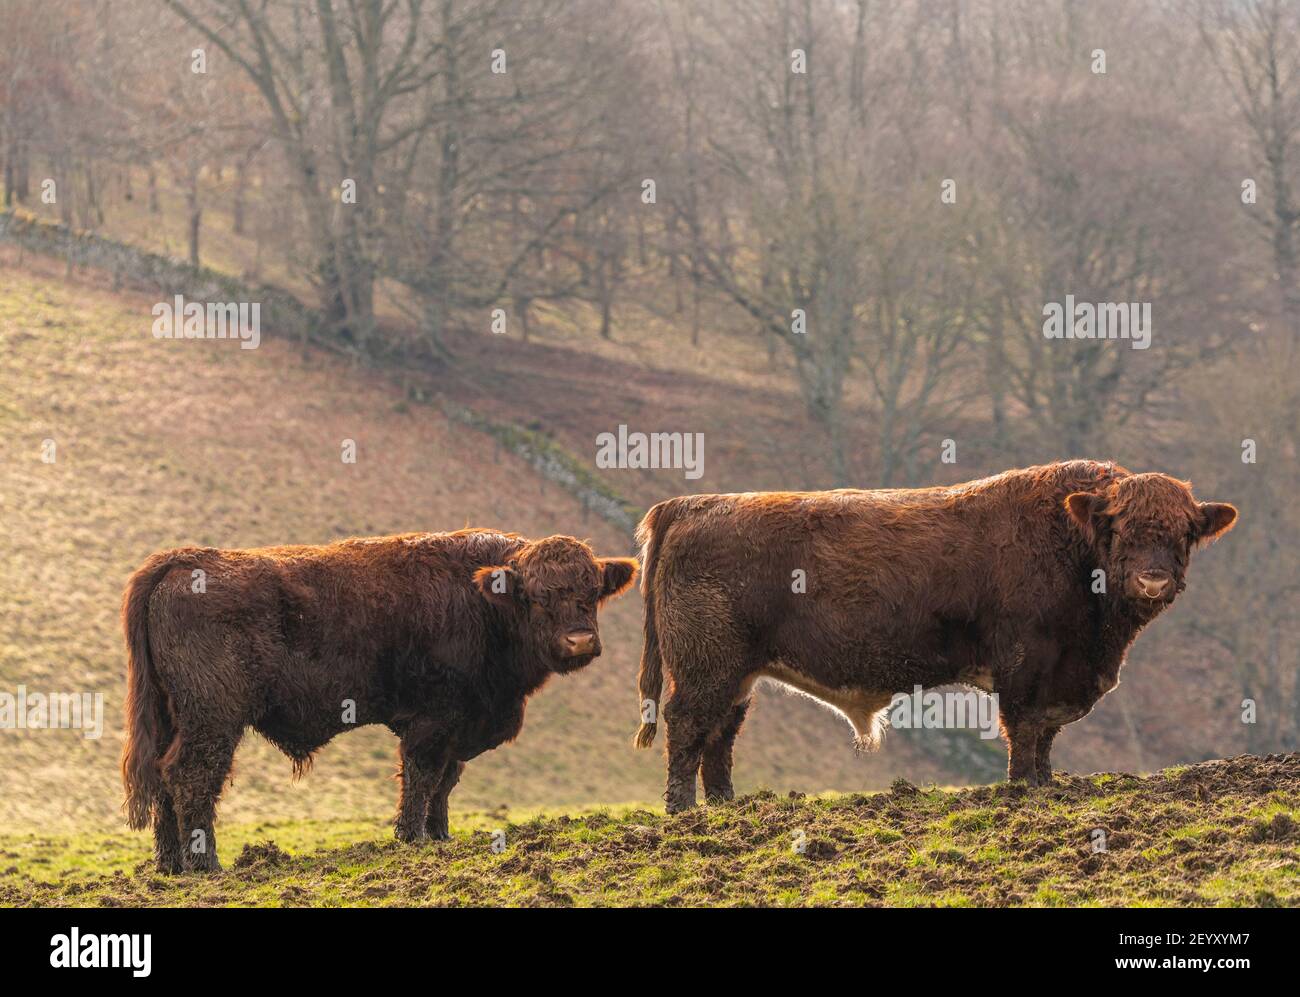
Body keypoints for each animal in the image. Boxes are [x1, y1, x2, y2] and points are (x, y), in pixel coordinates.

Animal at [121, 530, 637, 872]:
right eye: (536, 595)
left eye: (593, 591)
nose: (579, 641)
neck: (483, 597)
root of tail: (182, 560)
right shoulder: (432, 722)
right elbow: (422, 778)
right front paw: (412, 839)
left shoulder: (457, 728)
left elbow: (444, 784)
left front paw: (440, 835)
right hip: (213, 720)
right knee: (191, 777)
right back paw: (207, 866)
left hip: (170, 717)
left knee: (164, 778)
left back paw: (170, 867)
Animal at [631, 460, 1237, 813]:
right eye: (1120, 528)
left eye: (1184, 532)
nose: (1152, 579)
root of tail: (688, 505)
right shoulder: (1026, 664)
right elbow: (1024, 729)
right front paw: (1024, 789)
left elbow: (1045, 736)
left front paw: (1046, 785)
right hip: (706, 668)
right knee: (688, 726)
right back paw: (684, 812)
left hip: (738, 674)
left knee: (720, 735)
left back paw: (726, 807)